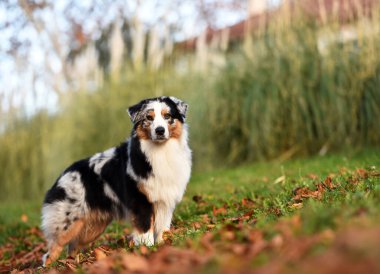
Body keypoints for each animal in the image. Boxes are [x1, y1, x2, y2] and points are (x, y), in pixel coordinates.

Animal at [40, 96, 193, 266]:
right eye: (149, 117)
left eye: (168, 116)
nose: (160, 130)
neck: (161, 151)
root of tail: (62, 175)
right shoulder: (141, 202)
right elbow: (145, 229)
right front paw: (147, 249)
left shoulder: (165, 201)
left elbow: (163, 229)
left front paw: (163, 246)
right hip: (66, 223)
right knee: (51, 252)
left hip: (92, 228)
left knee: (72, 246)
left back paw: (73, 263)